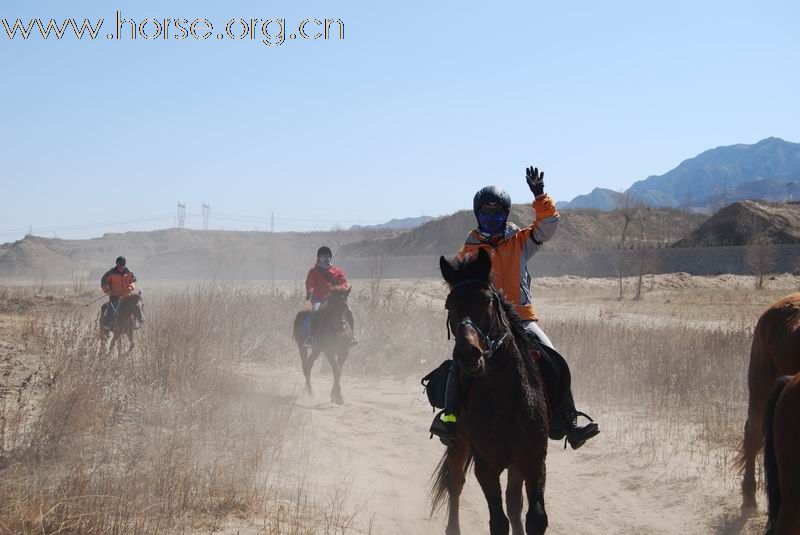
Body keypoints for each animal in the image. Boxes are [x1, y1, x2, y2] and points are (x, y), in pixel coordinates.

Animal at [432, 251, 552, 535]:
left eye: (487, 300)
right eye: (449, 305)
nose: (468, 355)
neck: (506, 398)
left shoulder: (533, 460)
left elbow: (535, 517)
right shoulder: (486, 466)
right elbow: (498, 521)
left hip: (515, 463)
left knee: (514, 501)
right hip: (458, 443)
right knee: (455, 484)